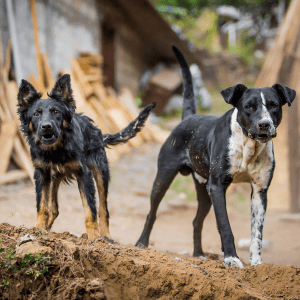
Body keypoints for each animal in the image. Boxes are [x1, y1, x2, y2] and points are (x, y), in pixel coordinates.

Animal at [17, 74, 156, 238]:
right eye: (36, 114)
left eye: (56, 112)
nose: (46, 126)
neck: (55, 150)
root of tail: (98, 132)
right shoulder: (41, 174)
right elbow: (42, 205)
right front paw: (38, 228)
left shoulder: (84, 174)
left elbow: (91, 210)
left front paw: (93, 237)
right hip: (54, 178)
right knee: (54, 208)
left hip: (101, 173)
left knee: (103, 209)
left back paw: (106, 237)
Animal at [136, 46, 296, 268]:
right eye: (248, 106)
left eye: (274, 105)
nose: (264, 124)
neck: (248, 145)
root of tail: (188, 117)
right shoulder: (217, 186)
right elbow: (225, 226)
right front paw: (231, 259)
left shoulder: (260, 191)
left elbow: (257, 233)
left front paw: (256, 264)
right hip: (164, 178)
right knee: (152, 213)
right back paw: (141, 244)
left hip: (204, 190)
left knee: (196, 221)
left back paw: (198, 254)